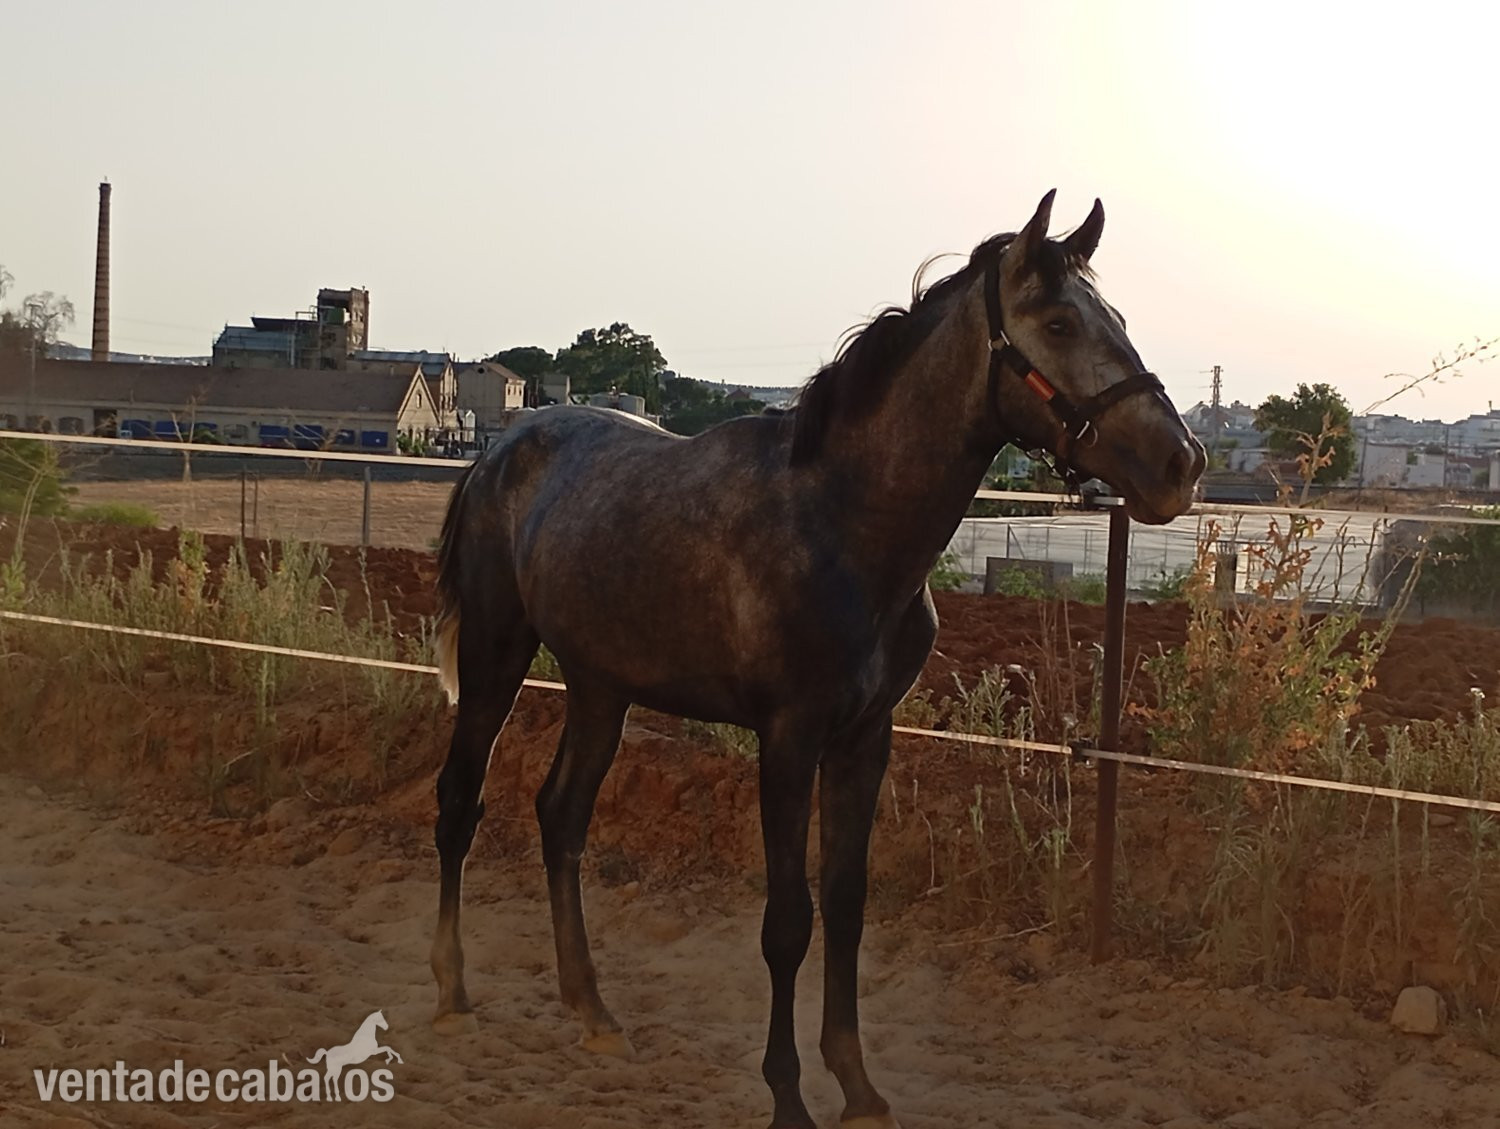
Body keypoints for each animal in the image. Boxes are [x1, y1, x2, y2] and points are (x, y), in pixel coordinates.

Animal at [428, 190, 1205, 1128]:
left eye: (1115, 318)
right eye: (1057, 322)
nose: (1181, 463)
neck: (842, 522)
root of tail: (498, 451)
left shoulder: (865, 738)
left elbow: (846, 901)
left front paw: (858, 1084)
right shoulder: (789, 740)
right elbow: (788, 920)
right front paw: (788, 1093)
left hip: (599, 685)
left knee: (560, 815)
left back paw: (593, 1009)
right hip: (497, 651)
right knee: (461, 799)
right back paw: (450, 993)